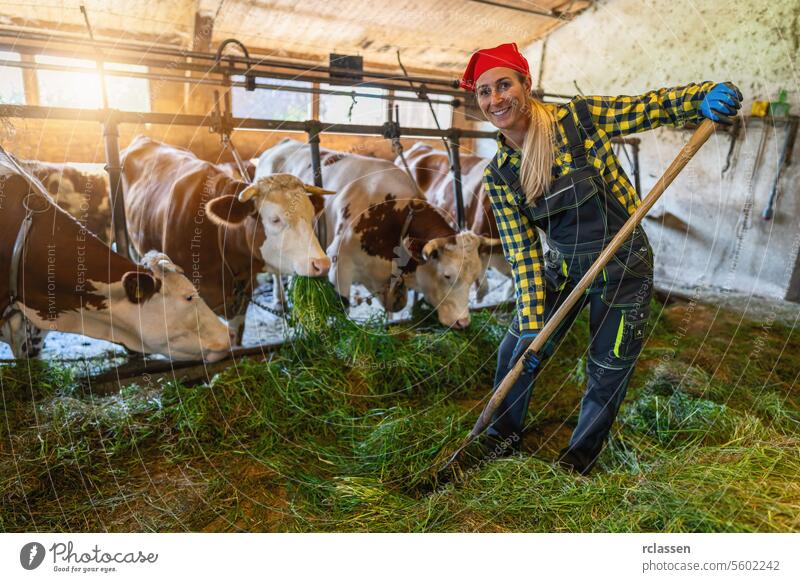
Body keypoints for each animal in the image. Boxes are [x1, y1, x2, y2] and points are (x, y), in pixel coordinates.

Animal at [253, 137, 500, 328]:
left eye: (474, 277)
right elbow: (343, 309)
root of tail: (281, 145)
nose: (463, 322)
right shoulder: (339, 266)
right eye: (448, 275)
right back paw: (279, 301)